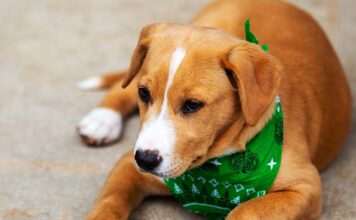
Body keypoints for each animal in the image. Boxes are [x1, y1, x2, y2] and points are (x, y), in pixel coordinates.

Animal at [79, 0, 352, 219]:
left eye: (193, 105)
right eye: (144, 94)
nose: (145, 159)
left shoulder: (306, 187)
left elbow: (245, 210)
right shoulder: (128, 164)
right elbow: (109, 201)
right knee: (122, 83)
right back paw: (102, 120)